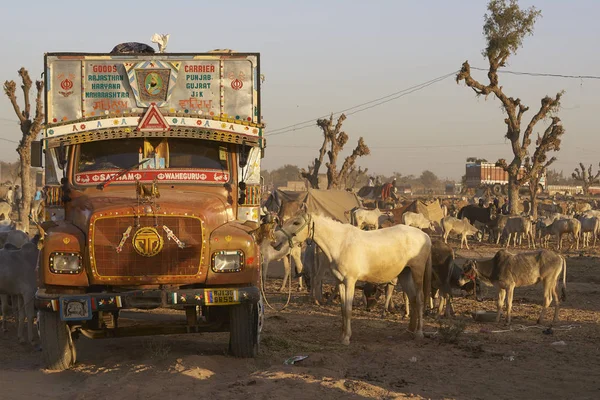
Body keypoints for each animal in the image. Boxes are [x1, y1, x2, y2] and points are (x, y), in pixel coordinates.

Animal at [278, 211, 432, 346]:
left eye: (296, 222)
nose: (277, 239)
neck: (340, 244)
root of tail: (426, 236)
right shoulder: (340, 282)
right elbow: (342, 309)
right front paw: (341, 335)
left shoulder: (350, 282)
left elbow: (348, 309)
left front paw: (346, 338)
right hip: (405, 273)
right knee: (412, 298)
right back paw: (409, 331)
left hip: (417, 272)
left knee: (419, 299)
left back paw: (419, 333)